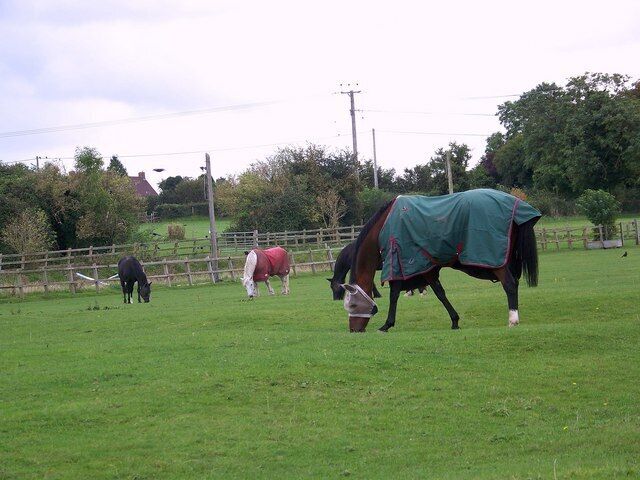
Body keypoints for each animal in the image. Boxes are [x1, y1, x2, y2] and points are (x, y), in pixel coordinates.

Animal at [342, 189, 540, 332]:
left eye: (352, 304)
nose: (353, 330)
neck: (385, 225)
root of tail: (517, 205)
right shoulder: (427, 269)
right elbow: (440, 293)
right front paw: (455, 321)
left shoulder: (398, 263)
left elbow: (394, 294)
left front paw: (387, 324)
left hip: (498, 262)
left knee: (510, 284)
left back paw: (513, 319)